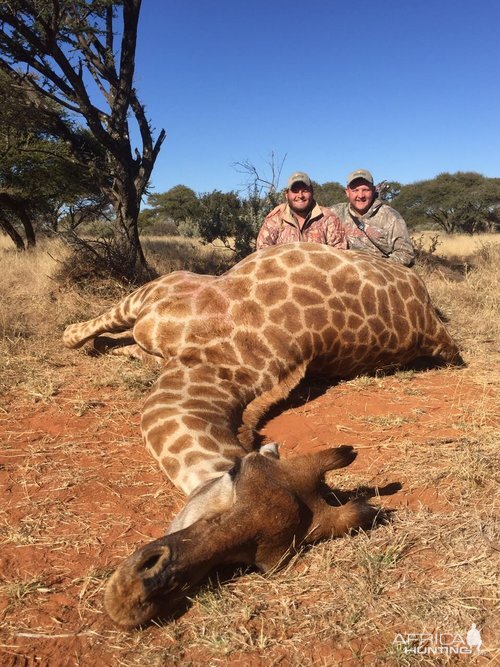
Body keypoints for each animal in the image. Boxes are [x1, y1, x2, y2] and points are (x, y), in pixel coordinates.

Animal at [63, 243, 464, 628]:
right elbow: (79, 336)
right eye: (233, 477)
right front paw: (86, 341)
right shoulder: (152, 294)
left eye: (255, 561)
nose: (134, 597)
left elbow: (106, 343)